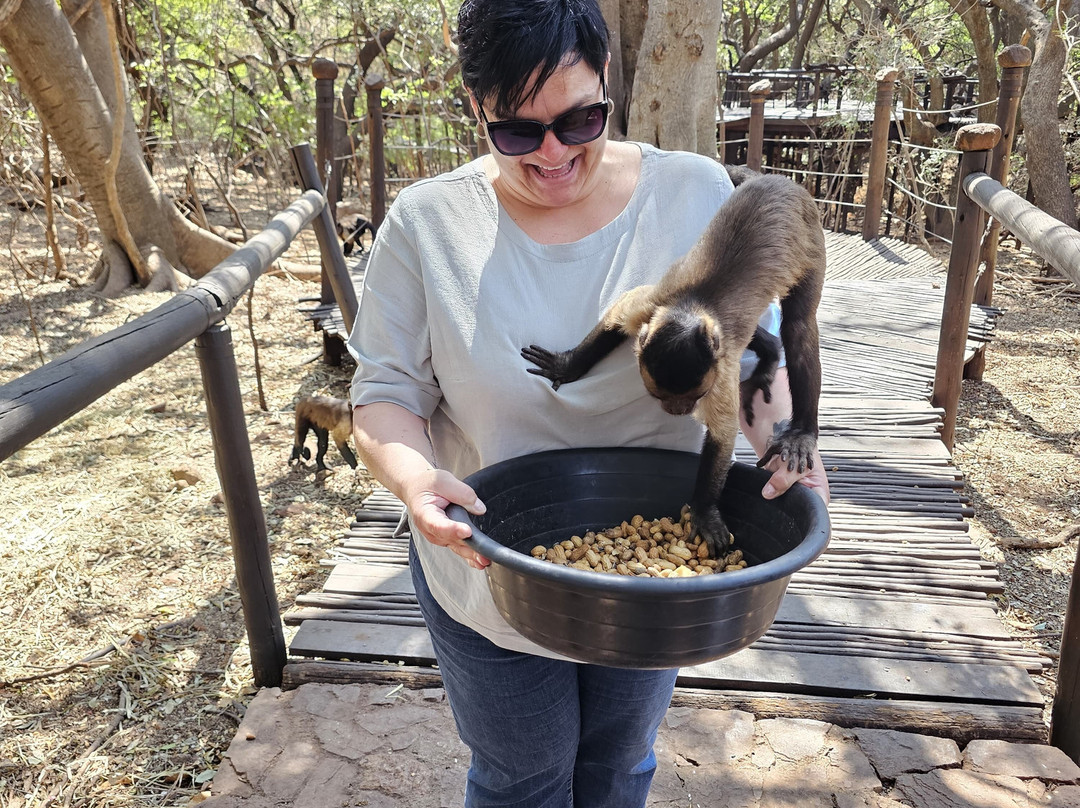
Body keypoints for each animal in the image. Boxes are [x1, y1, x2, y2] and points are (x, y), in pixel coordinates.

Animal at [521, 171, 824, 557]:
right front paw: (568, 364)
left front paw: (705, 512)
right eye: (660, 397)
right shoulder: (650, 310)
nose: (678, 412)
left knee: (799, 327)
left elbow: (722, 434)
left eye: (694, 398)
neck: (690, 306)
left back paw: (802, 431)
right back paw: (769, 350)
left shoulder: (719, 367)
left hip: (811, 238)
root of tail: (780, 180)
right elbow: (617, 314)